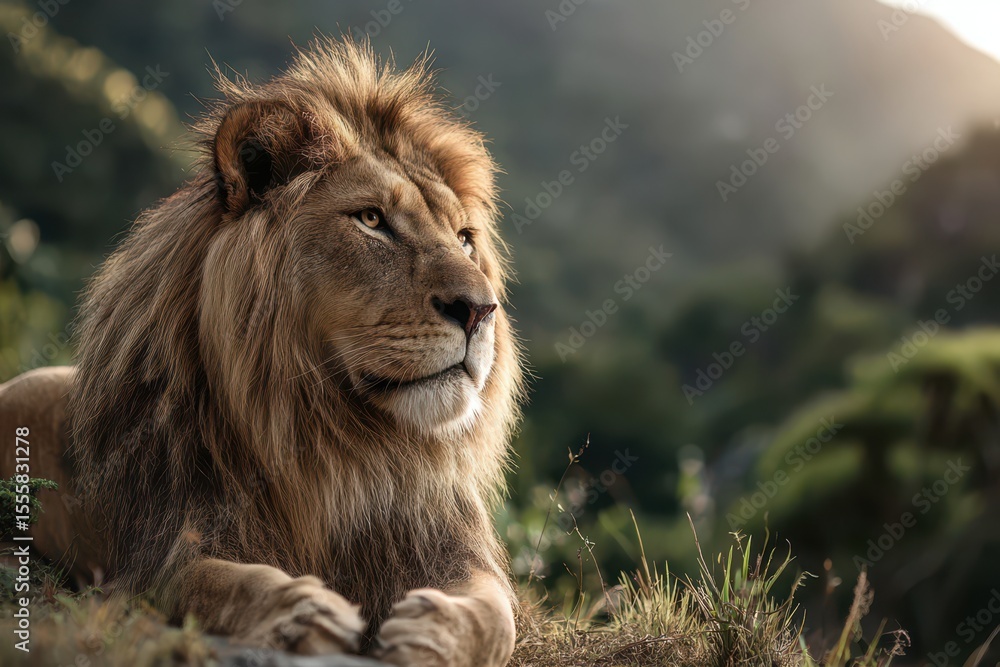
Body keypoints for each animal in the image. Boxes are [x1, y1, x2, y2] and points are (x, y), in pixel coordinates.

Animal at [0, 39, 524, 666]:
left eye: (465, 239)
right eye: (372, 220)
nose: (479, 310)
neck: (336, 443)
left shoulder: (441, 543)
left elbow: (496, 613)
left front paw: (431, 633)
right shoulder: (158, 548)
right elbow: (203, 581)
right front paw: (303, 614)